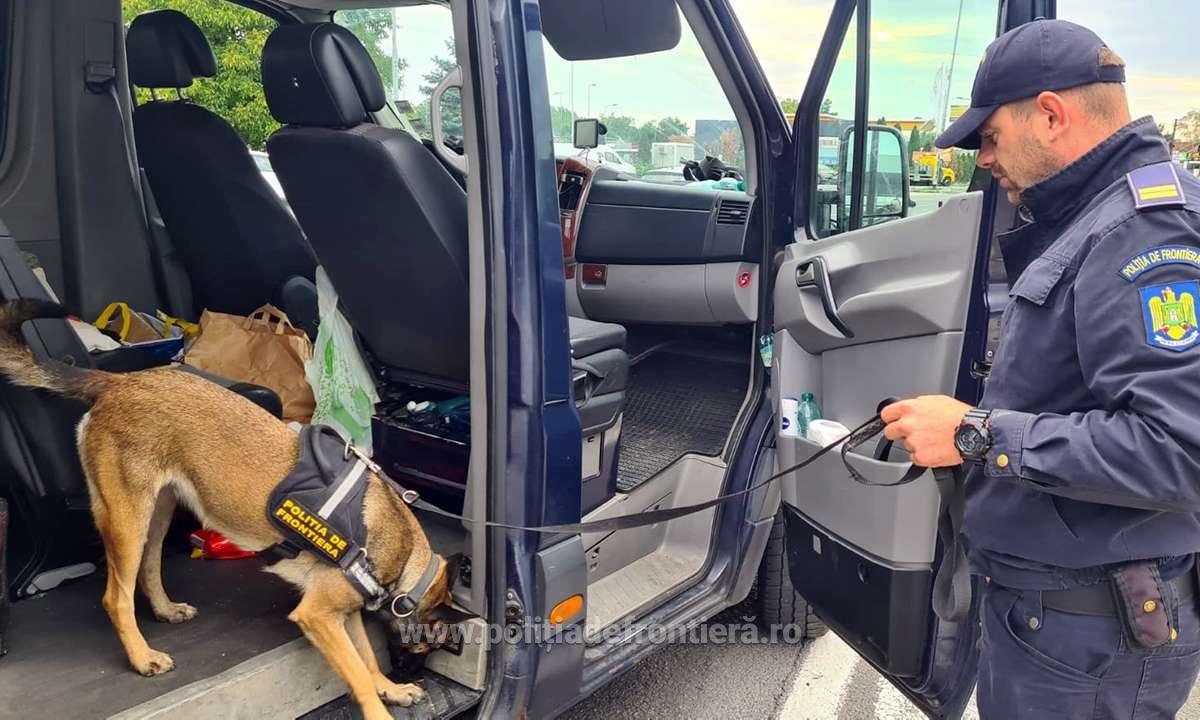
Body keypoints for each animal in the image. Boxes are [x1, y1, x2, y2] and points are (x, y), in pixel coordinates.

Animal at [0, 299, 472, 720]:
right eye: (429, 645)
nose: (414, 672)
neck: (405, 555)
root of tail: (119, 383)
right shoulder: (319, 615)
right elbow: (356, 672)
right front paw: (381, 705)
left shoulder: (343, 615)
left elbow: (367, 660)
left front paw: (391, 688)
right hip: (126, 519)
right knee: (116, 597)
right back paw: (142, 656)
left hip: (158, 513)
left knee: (149, 568)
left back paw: (165, 610)